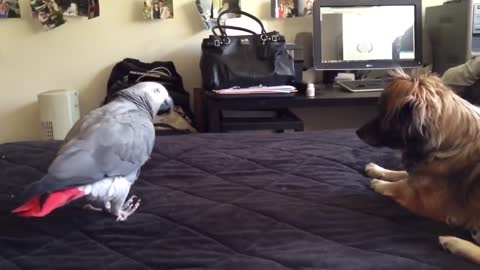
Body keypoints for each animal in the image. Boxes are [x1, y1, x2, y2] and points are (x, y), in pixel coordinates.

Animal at [358, 67, 480, 264]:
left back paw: (453, 243)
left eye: (383, 114)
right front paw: (378, 170)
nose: (357, 132)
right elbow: (401, 174)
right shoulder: (420, 171)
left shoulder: (426, 202)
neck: (446, 143)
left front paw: (380, 184)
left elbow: (400, 186)